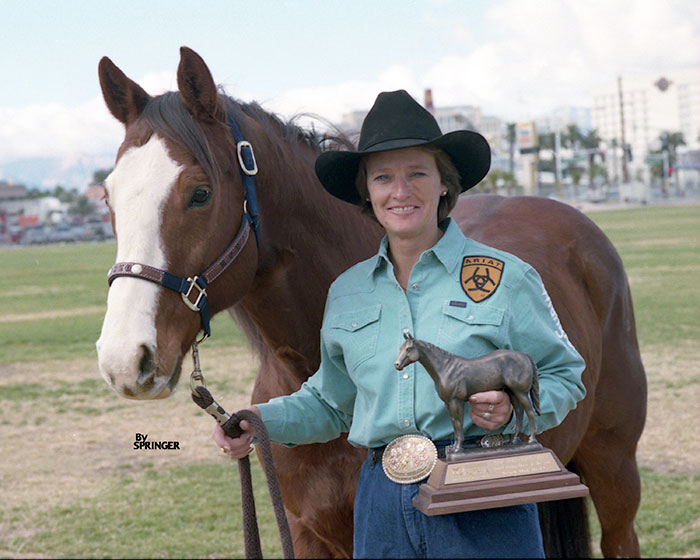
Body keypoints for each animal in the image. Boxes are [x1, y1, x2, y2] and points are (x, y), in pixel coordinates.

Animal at [394, 330, 540, 452]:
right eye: (400, 348)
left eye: (409, 349)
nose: (397, 365)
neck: (445, 369)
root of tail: (525, 355)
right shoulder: (448, 403)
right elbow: (454, 423)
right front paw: (454, 447)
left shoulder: (456, 401)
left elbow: (458, 423)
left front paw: (458, 448)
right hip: (512, 393)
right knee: (519, 412)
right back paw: (515, 440)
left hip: (521, 392)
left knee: (530, 412)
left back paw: (532, 440)